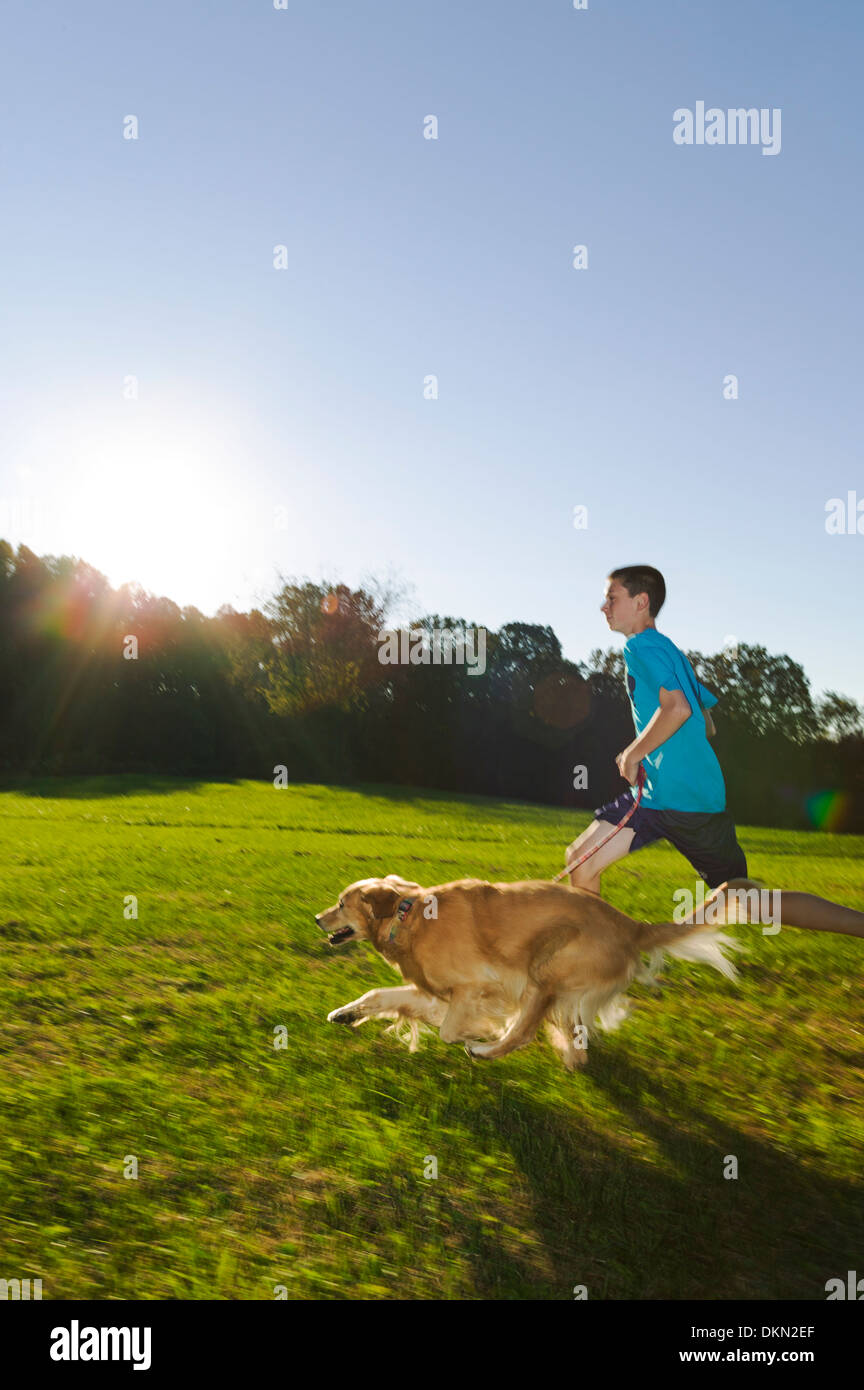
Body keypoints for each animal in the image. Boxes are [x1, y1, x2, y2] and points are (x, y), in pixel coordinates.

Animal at [318, 872, 738, 1067]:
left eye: (340, 903)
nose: (316, 918)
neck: (410, 916)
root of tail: (633, 925)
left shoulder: (474, 986)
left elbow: (449, 1030)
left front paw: (480, 1032)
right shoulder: (436, 991)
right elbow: (380, 995)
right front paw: (345, 1013)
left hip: (546, 970)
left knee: (523, 1032)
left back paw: (486, 1051)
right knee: (574, 1040)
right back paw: (571, 1057)